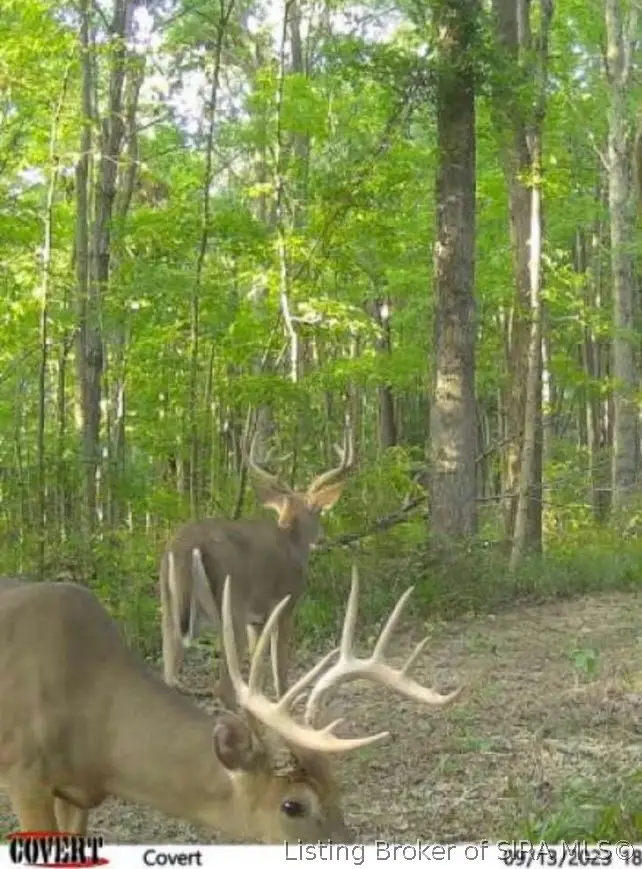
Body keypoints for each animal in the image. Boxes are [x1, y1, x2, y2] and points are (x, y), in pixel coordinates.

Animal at [160, 428, 355, 706]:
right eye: (318, 512)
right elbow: (279, 672)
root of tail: (186, 547)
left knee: (169, 676)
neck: (292, 541)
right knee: (224, 688)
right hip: (232, 607)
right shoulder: (285, 605)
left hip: (168, 607)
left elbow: (258, 671)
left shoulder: (257, 619)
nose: (322, 537)